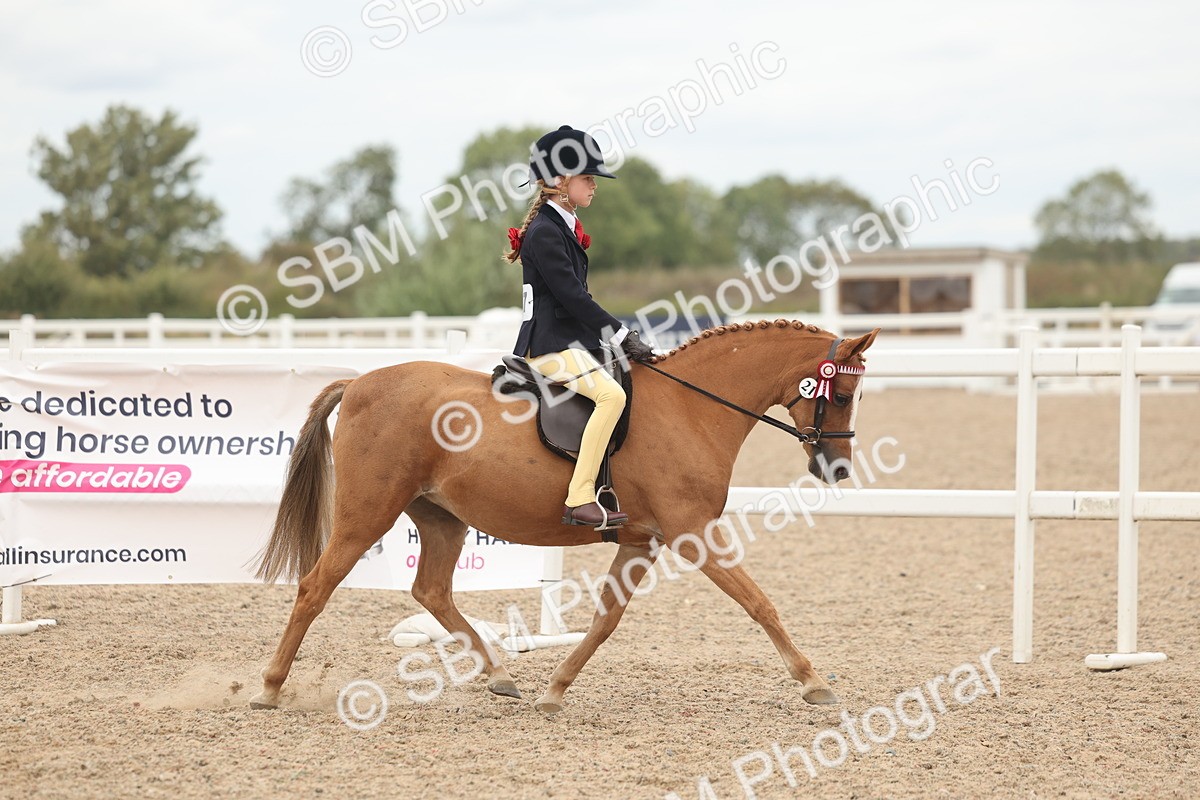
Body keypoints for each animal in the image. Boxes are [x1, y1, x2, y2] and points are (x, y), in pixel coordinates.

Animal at [250, 319, 880, 713]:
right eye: (843, 396)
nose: (836, 470)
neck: (691, 409)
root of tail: (358, 382)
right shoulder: (693, 532)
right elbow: (759, 603)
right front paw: (814, 683)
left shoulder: (641, 541)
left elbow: (605, 621)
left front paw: (555, 689)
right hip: (367, 514)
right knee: (315, 586)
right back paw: (269, 689)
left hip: (440, 517)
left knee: (431, 591)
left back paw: (502, 677)